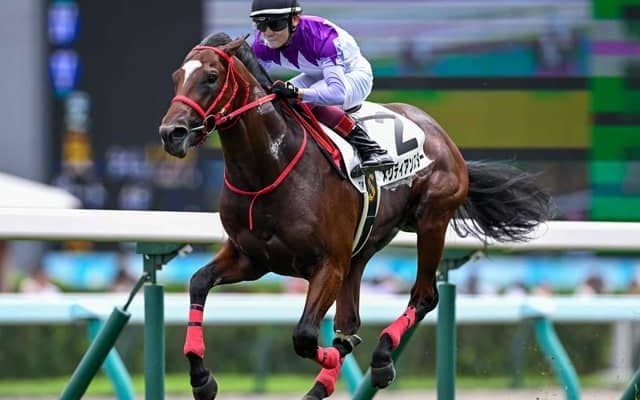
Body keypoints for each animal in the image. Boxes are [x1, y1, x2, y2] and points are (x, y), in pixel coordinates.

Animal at [158, 33, 551, 400]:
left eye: (211, 77)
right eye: (176, 76)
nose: (171, 133)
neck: (269, 167)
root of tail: (443, 137)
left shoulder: (327, 264)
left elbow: (304, 335)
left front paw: (339, 357)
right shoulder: (252, 258)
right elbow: (198, 282)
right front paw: (201, 379)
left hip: (431, 220)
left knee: (424, 296)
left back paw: (381, 360)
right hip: (363, 249)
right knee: (351, 317)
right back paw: (327, 381)